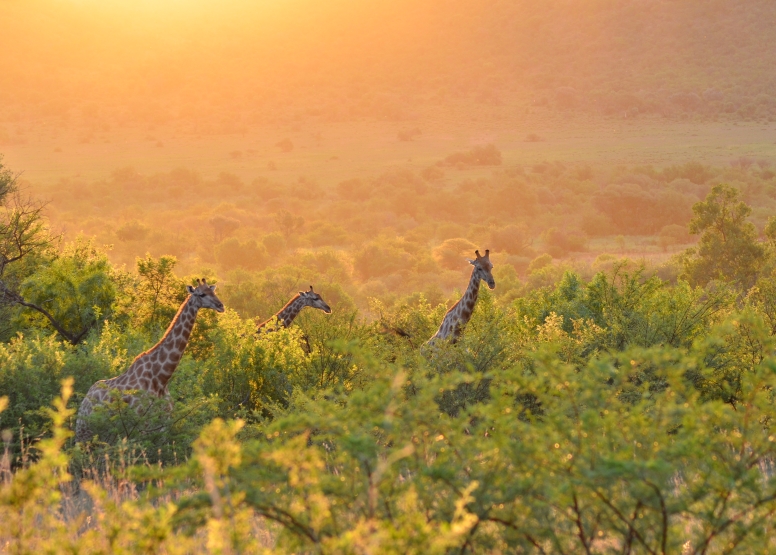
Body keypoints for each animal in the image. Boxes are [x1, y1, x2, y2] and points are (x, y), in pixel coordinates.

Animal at [74, 278, 224, 444]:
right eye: (202, 294)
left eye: (213, 291)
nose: (220, 306)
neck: (161, 378)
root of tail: (83, 403)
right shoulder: (141, 425)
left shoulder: (164, 425)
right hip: (85, 434)